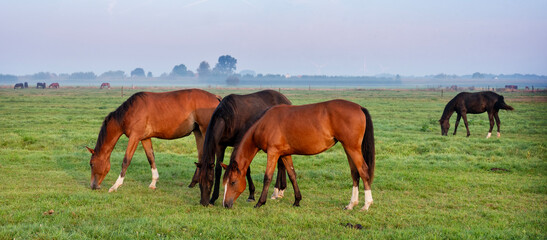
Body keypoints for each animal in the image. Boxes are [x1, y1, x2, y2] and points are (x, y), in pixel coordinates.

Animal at [86, 89, 222, 192]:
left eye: (91, 164)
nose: (93, 186)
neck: (131, 111)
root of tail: (215, 97)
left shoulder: (134, 137)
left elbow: (126, 160)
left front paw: (115, 185)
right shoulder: (145, 138)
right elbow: (151, 158)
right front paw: (153, 183)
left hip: (205, 132)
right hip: (198, 132)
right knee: (201, 156)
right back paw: (193, 183)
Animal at [220, 99, 374, 212]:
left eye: (232, 182)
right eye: (224, 183)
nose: (225, 205)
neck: (263, 124)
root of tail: (359, 107)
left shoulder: (273, 153)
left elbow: (267, 177)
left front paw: (260, 202)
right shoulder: (285, 154)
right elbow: (292, 175)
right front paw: (297, 201)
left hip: (352, 148)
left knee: (363, 171)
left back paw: (366, 205)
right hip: (348, 148)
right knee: (355, 174)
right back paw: (351, 204)